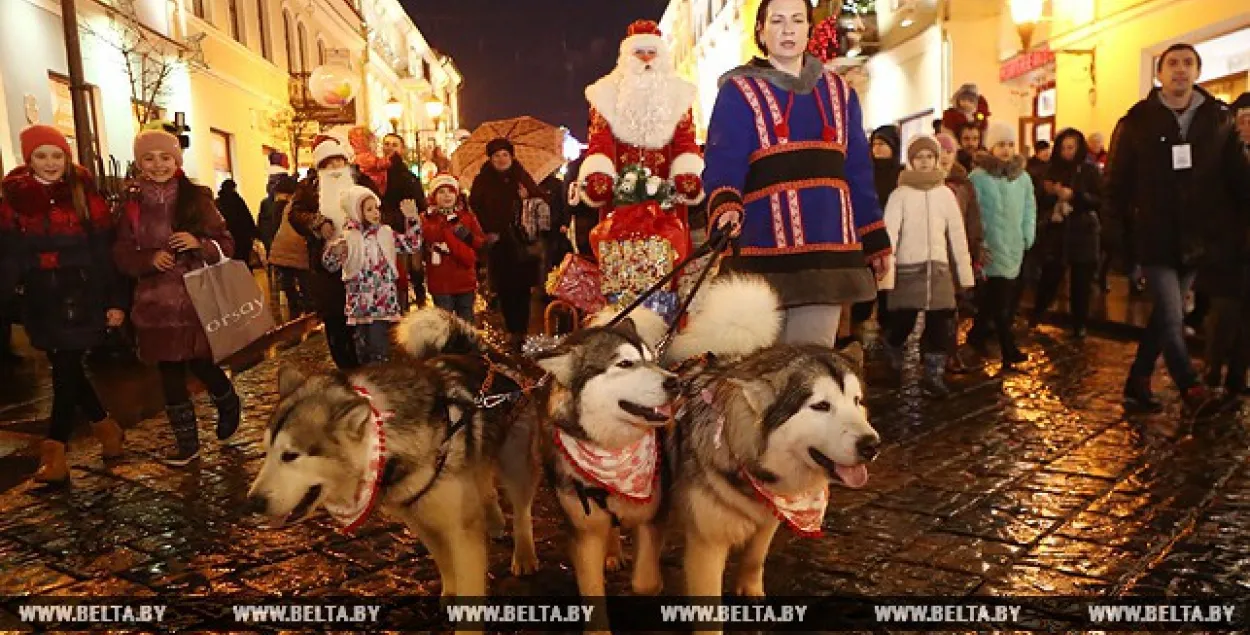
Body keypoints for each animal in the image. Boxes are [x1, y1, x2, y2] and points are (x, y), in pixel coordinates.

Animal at [246, 310, 545, 602]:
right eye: (266, 452)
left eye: (290, 455)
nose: (254, 503)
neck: (386, 443)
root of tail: (484, 355)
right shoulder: (421, 521)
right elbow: (444, 563)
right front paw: (449, 592)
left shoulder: (461, 531)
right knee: (485, 486)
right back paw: (494, 521)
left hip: (515, 464)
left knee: (521, 511)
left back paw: (524, 555)